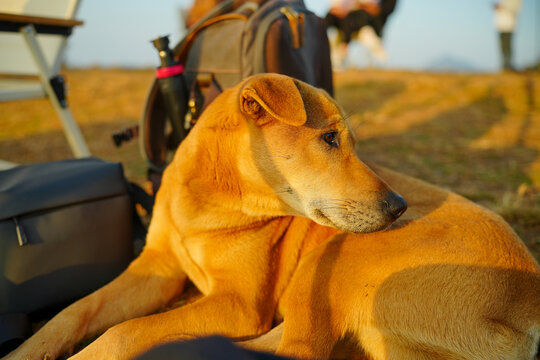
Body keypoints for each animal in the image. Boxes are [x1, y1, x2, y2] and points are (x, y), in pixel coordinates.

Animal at [5, 74, 540, 360]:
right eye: (330, 138)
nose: (399, 207)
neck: (210, 201)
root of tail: (527, 308)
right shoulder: (155, 269)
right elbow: (76, 310)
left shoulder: (240, 303)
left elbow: (123, 331)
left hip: (335, 260)